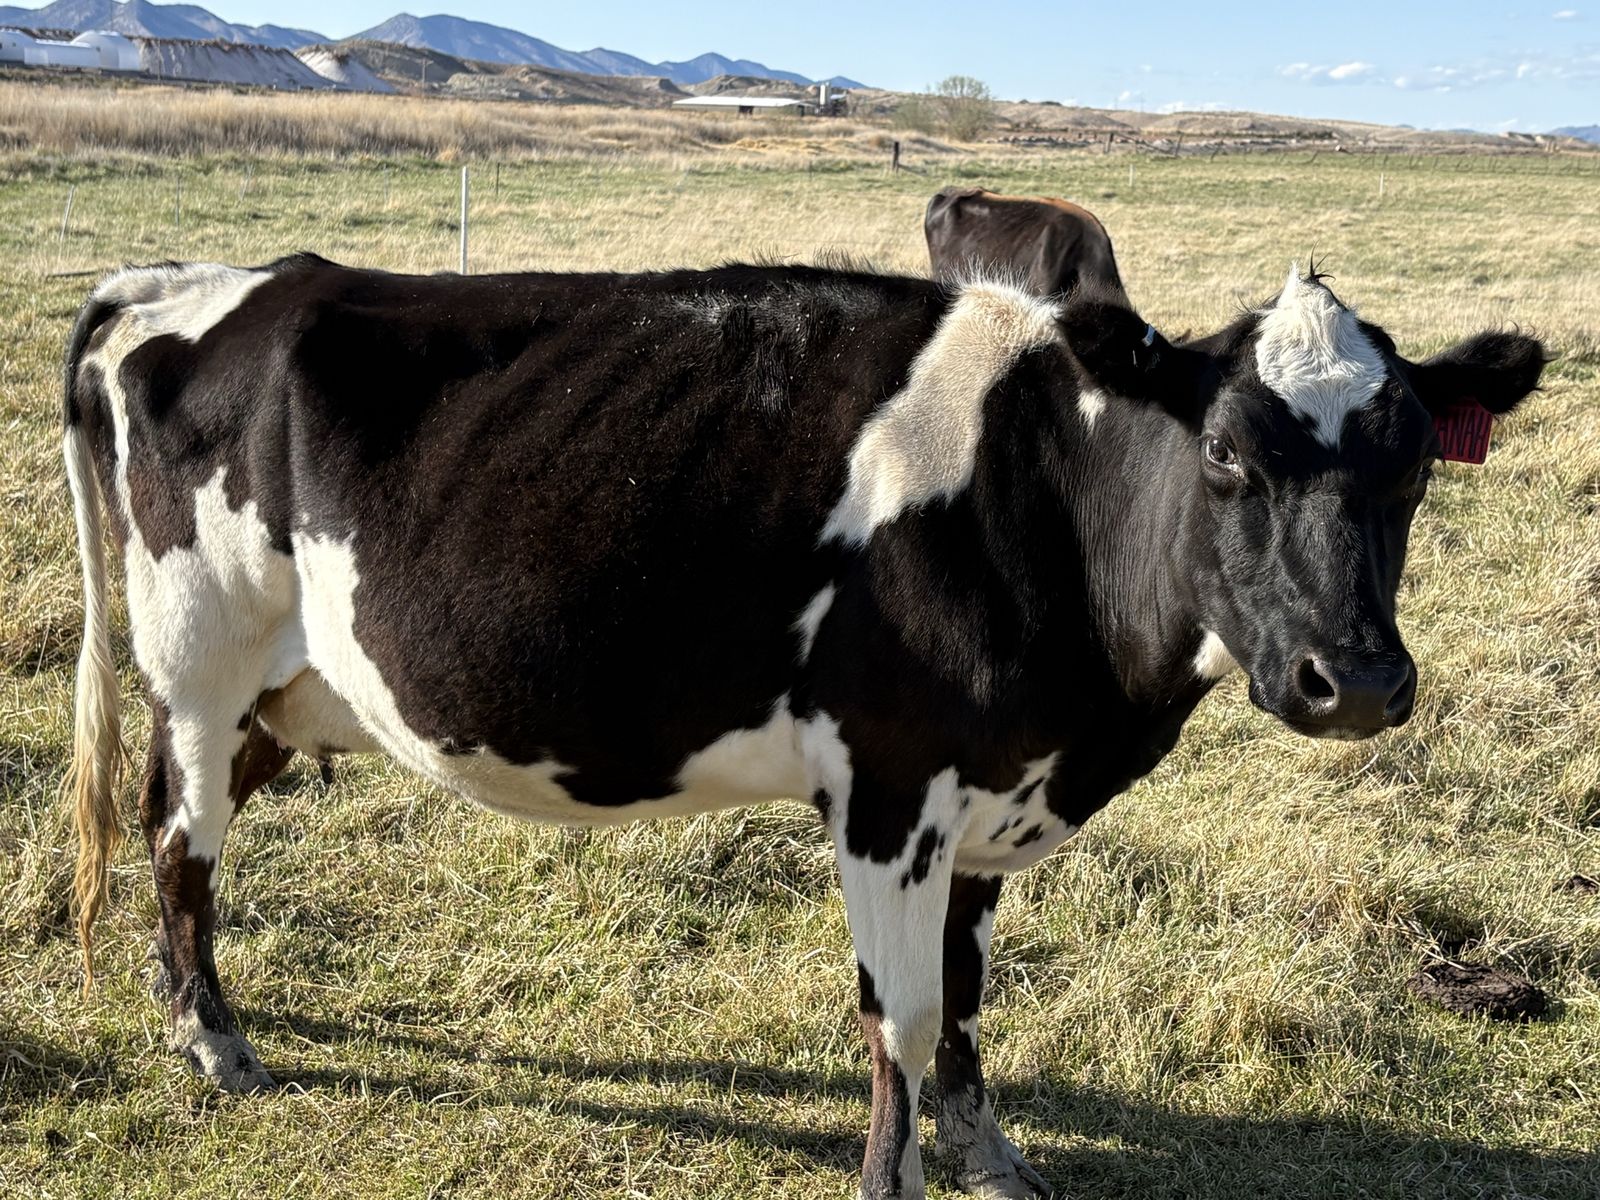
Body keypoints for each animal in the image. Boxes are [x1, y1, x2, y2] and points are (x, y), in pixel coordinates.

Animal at [62, 254, 1543, 1200]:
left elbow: (967, 992)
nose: (1356, 683)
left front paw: (990, 1156)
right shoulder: (890, 785)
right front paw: (896, 1181)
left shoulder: (989, 792)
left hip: (286, 691)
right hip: (197, 664)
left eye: (1415, 459)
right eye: (1228, 452)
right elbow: (900, 1014)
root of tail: (194, 280)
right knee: (179, 841)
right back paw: (214, 1040)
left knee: (177, 826)